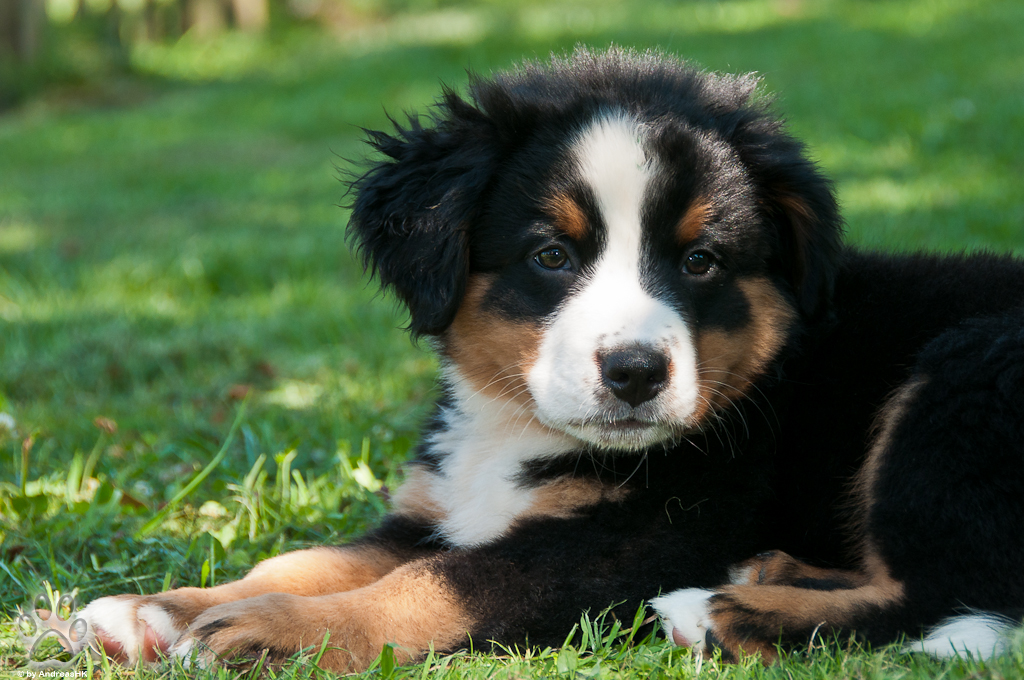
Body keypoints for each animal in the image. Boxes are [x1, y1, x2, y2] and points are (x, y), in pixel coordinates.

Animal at [81, 47, 1024, 667]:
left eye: (700, 260)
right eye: (551, 256)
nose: (636, 374)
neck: (515, 430)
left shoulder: (644, 537)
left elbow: (442, 584)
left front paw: (277, 630)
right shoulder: (436, 506)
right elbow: (311, 560)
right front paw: (158, 610)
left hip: (960, 373)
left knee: (935, 592)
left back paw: (718, 614)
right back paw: (771, 571)